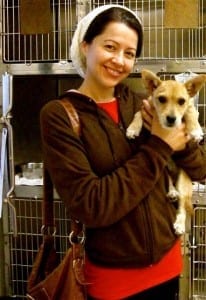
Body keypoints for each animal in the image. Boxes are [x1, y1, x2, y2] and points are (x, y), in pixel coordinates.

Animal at [126, 69, 206, 236]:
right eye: (161, 99)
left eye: (182, 101)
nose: (171, 119)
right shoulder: (147, 106)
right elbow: (138, 113)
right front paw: (132, 129)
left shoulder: (190, 108)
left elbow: (190, 112)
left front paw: (195, 129)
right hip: (163, 169)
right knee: (169, 180)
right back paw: (172, 191)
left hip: (183, 182)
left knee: (182, 208)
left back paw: (180, 224)